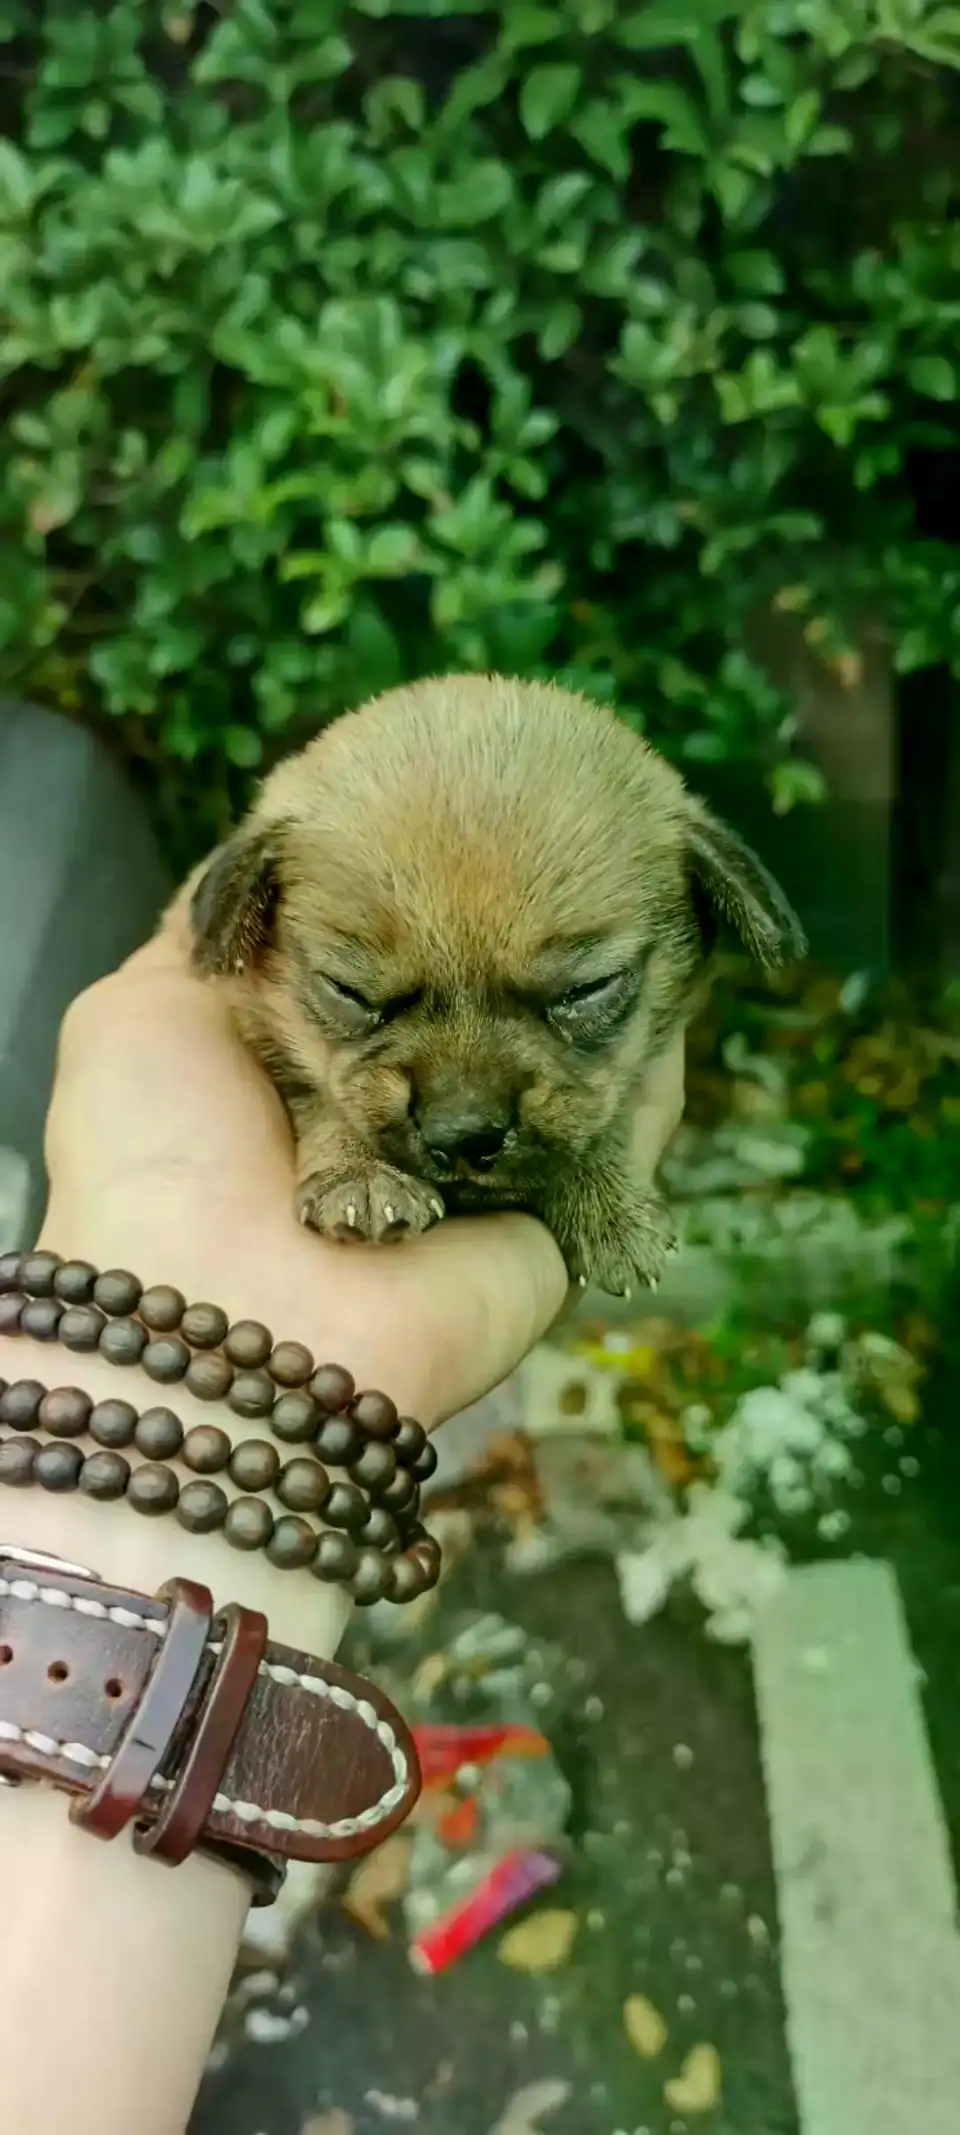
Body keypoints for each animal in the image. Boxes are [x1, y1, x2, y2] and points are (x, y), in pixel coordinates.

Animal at [187, 674, 802, 1289]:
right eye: (349, 993)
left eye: (587, 991)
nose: (463, 1134)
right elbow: (322, 1100)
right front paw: (361, 1177)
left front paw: (602, 1199)